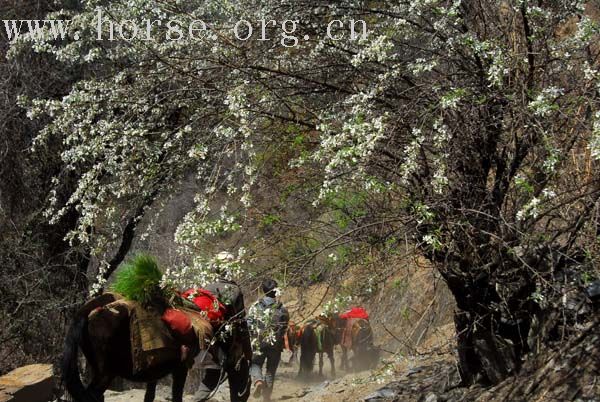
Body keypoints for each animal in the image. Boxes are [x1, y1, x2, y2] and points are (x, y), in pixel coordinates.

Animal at [62, 292, 212, 402]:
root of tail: (85, 311)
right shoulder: (180, 367)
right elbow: (176, 395)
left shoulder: (154, 367)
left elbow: (150, 395)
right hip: (105, 372)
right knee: (91, 396)